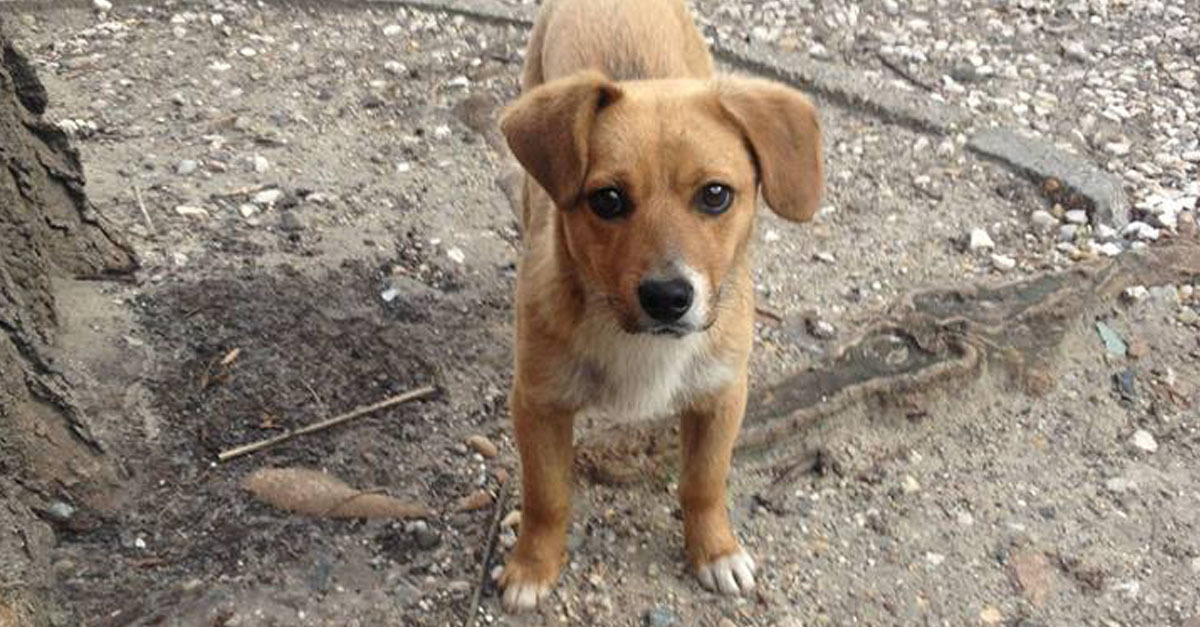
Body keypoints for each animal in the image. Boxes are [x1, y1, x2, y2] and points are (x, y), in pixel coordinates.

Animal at [497, 0, 824, 611]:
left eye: (716, 194)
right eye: (607, 200)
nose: (668, 297)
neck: (632, 337)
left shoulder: (721, 397)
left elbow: (703, 483)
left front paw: (715, 550)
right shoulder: (538, 403)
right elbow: (546, 497)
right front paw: (532, 566)